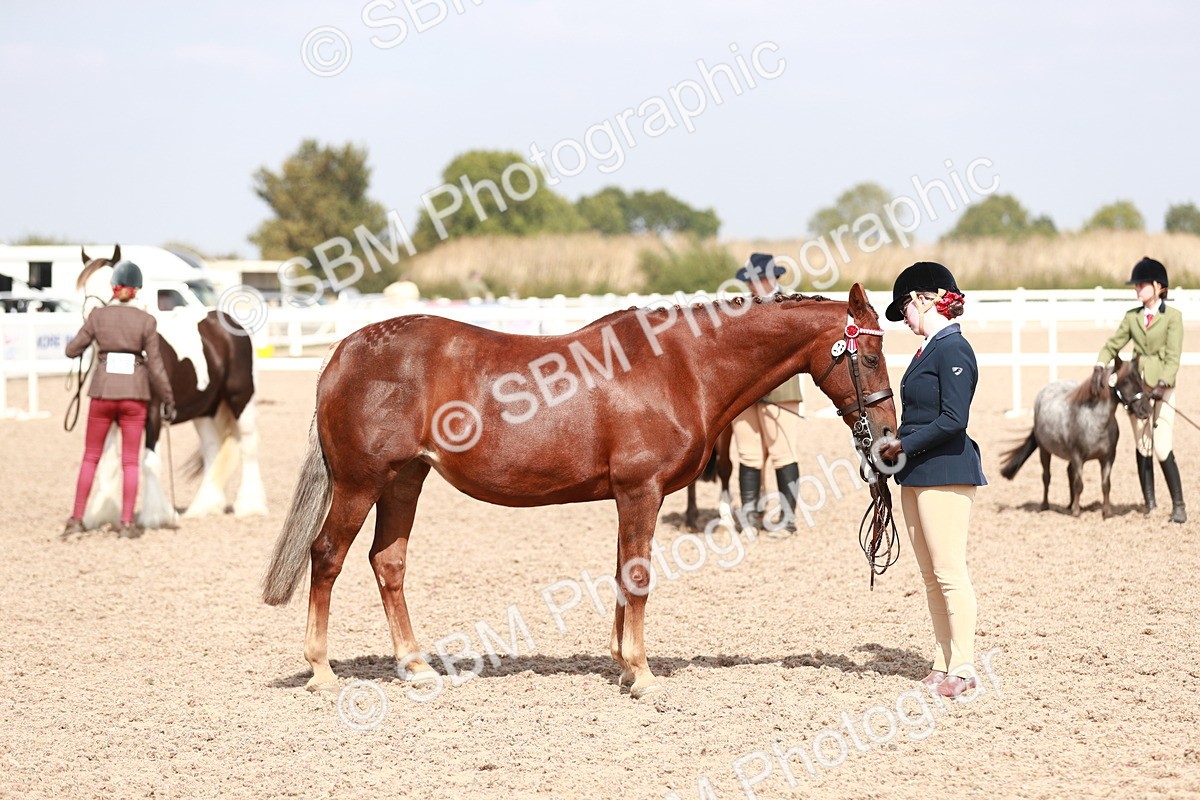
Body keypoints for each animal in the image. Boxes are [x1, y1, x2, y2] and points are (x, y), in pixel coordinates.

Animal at [75, 246, 268, 529]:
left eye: (111, 285)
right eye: (84, 286)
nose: (91, 319)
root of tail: (227, 322)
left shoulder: (154, 413)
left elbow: (149, 461)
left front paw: (155, 516)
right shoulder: (108, 416)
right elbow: (108, 464)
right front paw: (101, 515)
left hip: (240, 399)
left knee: (249, 445)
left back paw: (249, 506)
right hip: (204, 410)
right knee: (212, 449)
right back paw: (204, 507)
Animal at [262, 285, 898, 698]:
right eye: (870, 355)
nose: (889, 444)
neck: (683, 366)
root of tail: (344, 353)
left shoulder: (632, 496)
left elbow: (621, 574)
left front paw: (623, 663)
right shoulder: (641, 490)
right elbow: (638, 578)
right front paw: (642, 675)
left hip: (403, 481)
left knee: (387, 562)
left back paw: (415, 665)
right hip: (360, 483)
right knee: (327, 556)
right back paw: (321, 671)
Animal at [999, 354, 1151, 518]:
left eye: (1140, 380)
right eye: (1125, 381)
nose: (1146, 410)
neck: (1096, 423)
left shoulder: (1108, 457)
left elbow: (1105, 484)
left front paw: (1106, 512)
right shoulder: (1078, 457)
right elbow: (1079, 484)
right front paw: (1076, 512)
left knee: (1069, 473)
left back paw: (1070, 504)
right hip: (1044, 451)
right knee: (1046, 476)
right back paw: (1046, 506)